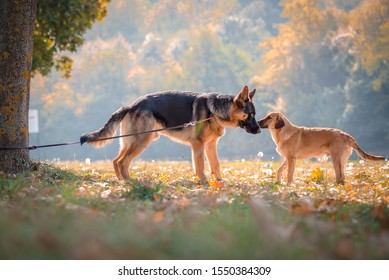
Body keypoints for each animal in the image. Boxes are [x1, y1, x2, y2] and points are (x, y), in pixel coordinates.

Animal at [80, 85, 260, 180]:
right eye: (250, 115)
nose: (259, 130)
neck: (215, 112)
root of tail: (131, 105)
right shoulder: (198, 145)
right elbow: (200, 166)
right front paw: (203, 182)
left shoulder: (210, 145)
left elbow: (216, 165)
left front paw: (219, 183)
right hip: (141, 141)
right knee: (123, 162)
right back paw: (130, 182)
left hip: (130, 142)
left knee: (116, 161)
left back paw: (121, 181)